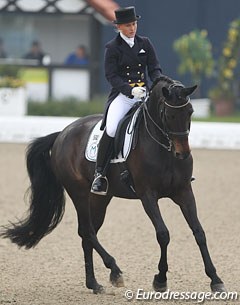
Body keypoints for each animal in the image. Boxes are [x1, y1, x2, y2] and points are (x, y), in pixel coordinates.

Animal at [0, 76, 226, 294]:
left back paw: (94, 284)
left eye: (190, 112)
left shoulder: (184, 192)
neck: (163, 148)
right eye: (168, 115)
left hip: (100, 199)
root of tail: (63, 133)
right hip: (79, 193)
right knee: (88, 231)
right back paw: (115, 271)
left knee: (87, 233)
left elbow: (199, 233)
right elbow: (163, 234)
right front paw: (160, 280)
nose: (182, 154)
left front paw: (216, 280)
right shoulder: (147, 195)